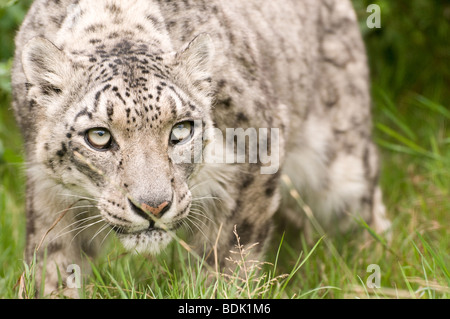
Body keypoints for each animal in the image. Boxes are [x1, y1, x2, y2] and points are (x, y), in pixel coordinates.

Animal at [10, 0, 390, 298]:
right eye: (99, 136)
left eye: (181, 129)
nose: (153, 207)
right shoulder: (48, 195)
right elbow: (53, 262)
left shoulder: (256, 152)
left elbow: (230, 252)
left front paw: (218, 289)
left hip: (340, 169)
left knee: (367, 207)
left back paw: (372, 266)